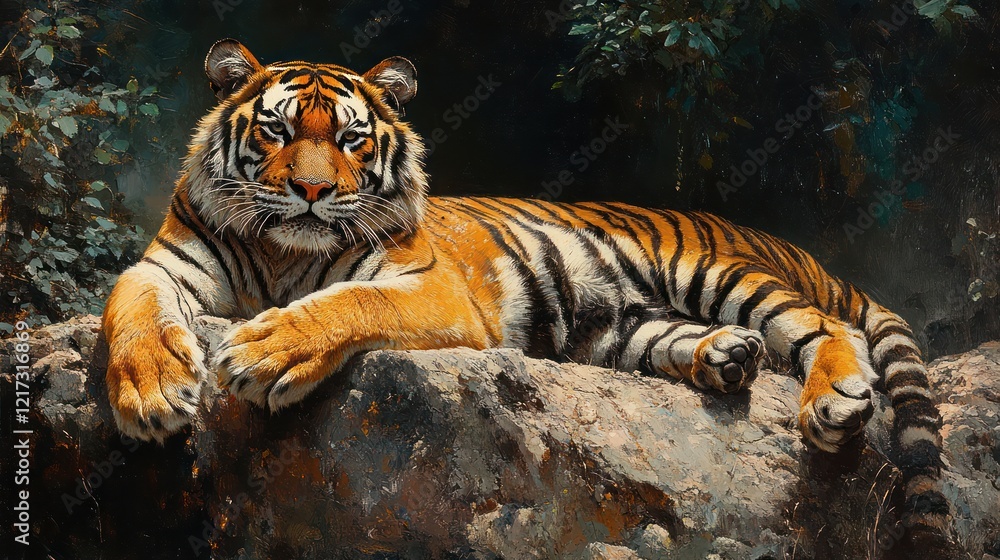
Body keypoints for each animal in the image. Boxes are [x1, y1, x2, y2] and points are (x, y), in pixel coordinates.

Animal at [101, 39, 951, 545]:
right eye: (275, 131)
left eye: (351, 139)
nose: (312, 192)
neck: (283, 252)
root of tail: (791, 247)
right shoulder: (165, 267)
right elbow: (128, 303)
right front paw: (151, 391)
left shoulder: (427, 289)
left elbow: (346, 304)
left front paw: (263, 349)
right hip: (622, 327)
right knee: (691, 340)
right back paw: (726, 358)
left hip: (712, 270)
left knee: (821, 327)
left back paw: (832, 398)